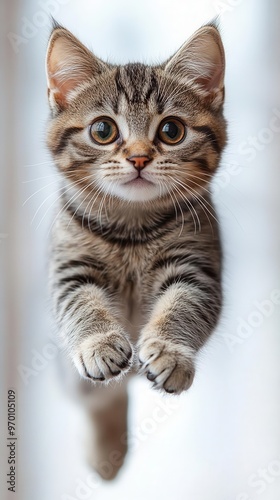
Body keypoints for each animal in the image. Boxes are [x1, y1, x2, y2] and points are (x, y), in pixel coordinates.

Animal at [44, 21, 226, 478]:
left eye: (171, 131)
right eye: (103, 130)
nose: (140, 158)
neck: (132, 228)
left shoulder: (198, 266)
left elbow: (184, 305)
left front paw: (171, 353)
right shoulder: (70, 267)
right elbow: (82, 304)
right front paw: (99, 344)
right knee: (101, 396)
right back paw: (107, 454)